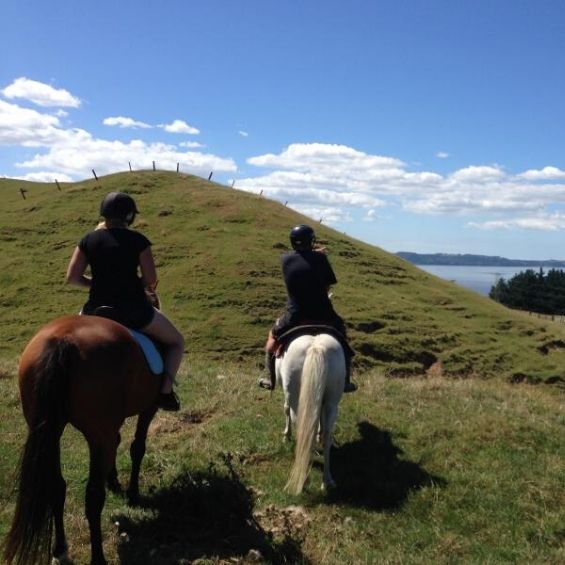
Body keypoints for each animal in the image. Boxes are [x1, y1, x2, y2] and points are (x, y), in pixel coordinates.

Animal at [4, 312, 162, 564]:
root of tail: (63, 341)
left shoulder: (111, 426)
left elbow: (118, 443)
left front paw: (114, 481)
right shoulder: (148, 408)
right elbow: (137, 447)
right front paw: (132, 493)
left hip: (51, 431)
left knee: (57, 487)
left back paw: (60, 549)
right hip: (96, 431)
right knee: (93, 497)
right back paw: (97, 557)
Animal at [276, 332, 344, 492]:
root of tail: (316, 347)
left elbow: (285, 408)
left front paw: (286, 435)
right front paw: (319, 432)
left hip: (296, 400)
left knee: (304, 430)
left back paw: (304, 480)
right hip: (332, 402)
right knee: (326, 436)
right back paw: (327, 481)